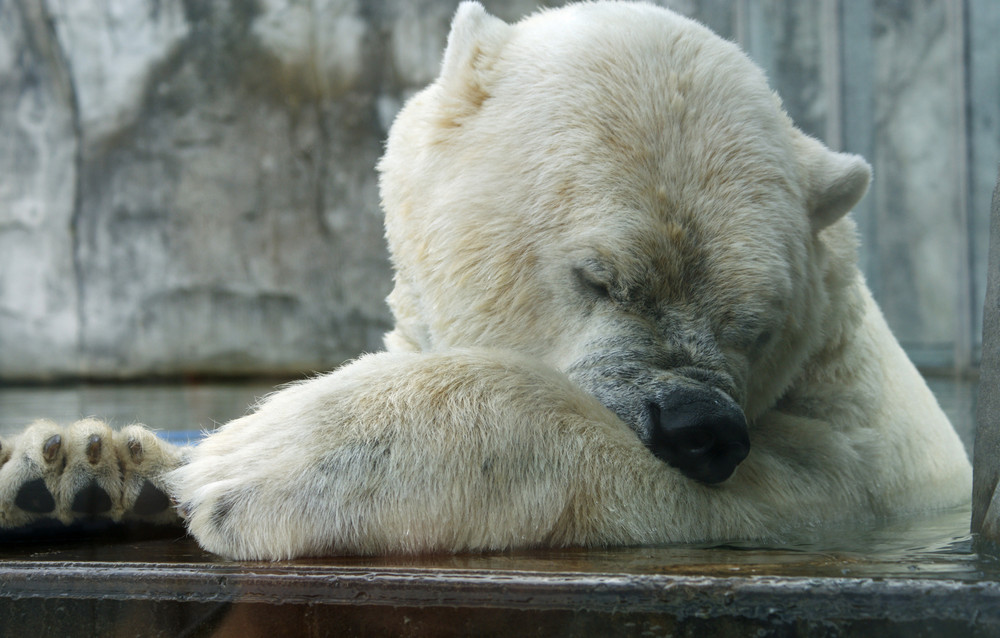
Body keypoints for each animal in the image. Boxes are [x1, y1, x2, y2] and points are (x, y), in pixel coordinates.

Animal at [0, 1, 972, 560]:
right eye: (599, 278)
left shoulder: (875, 462)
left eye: (755, 323)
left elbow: (785, 477)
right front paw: (80, 471)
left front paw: (255, 461)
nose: (703, 429)